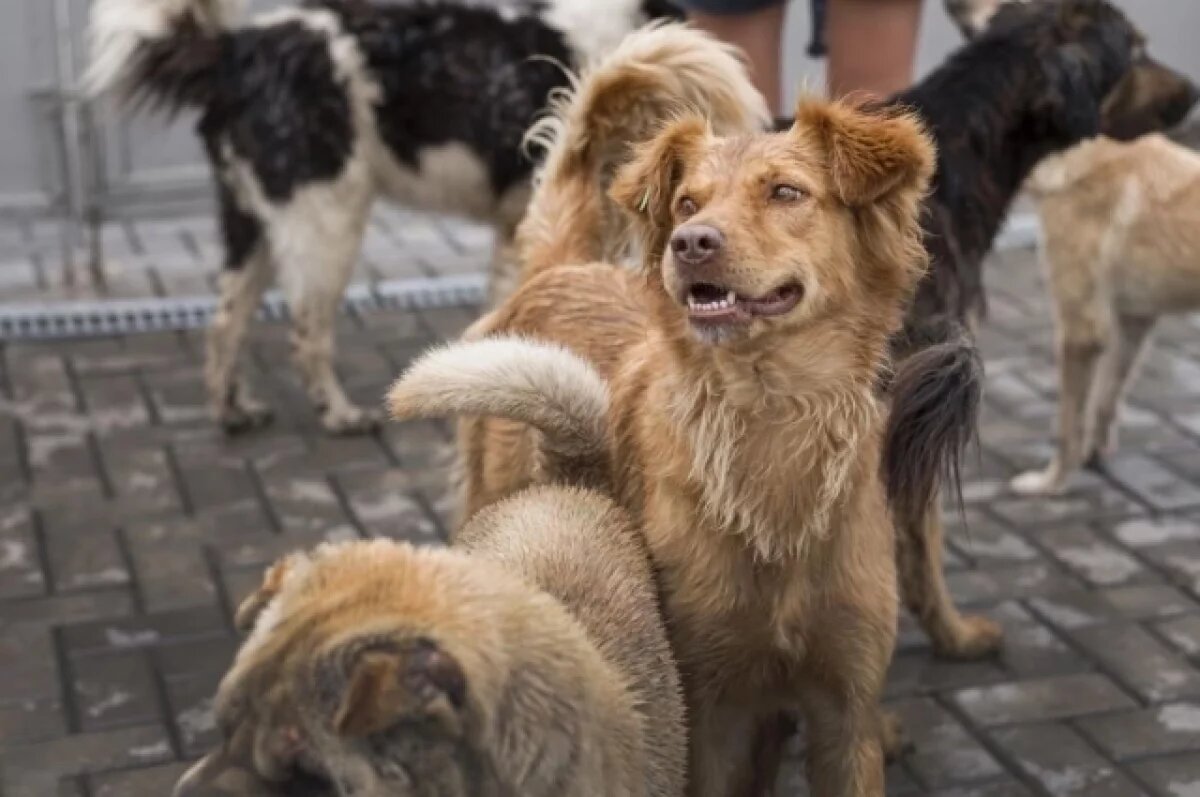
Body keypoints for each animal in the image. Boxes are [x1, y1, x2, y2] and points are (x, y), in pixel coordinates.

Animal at [83, 0, 681, 436]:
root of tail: (237, 51)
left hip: (252, 224)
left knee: (226, 322)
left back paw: (233, 411)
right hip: (327, 221)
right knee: (307, 332)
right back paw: (339, 414)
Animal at [388, 24, 940, 797]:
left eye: (786, 192)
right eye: (686, 203)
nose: (692, 242)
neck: (768, 419)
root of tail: (561, 266)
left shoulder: (844, 713)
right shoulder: (703, 710)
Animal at [1012, 133, 1200, 494]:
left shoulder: (1080, 331)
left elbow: (1067, 427)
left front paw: (1051, 483)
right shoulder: (1133, 320)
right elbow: (1106, 400)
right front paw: (1094, 457)